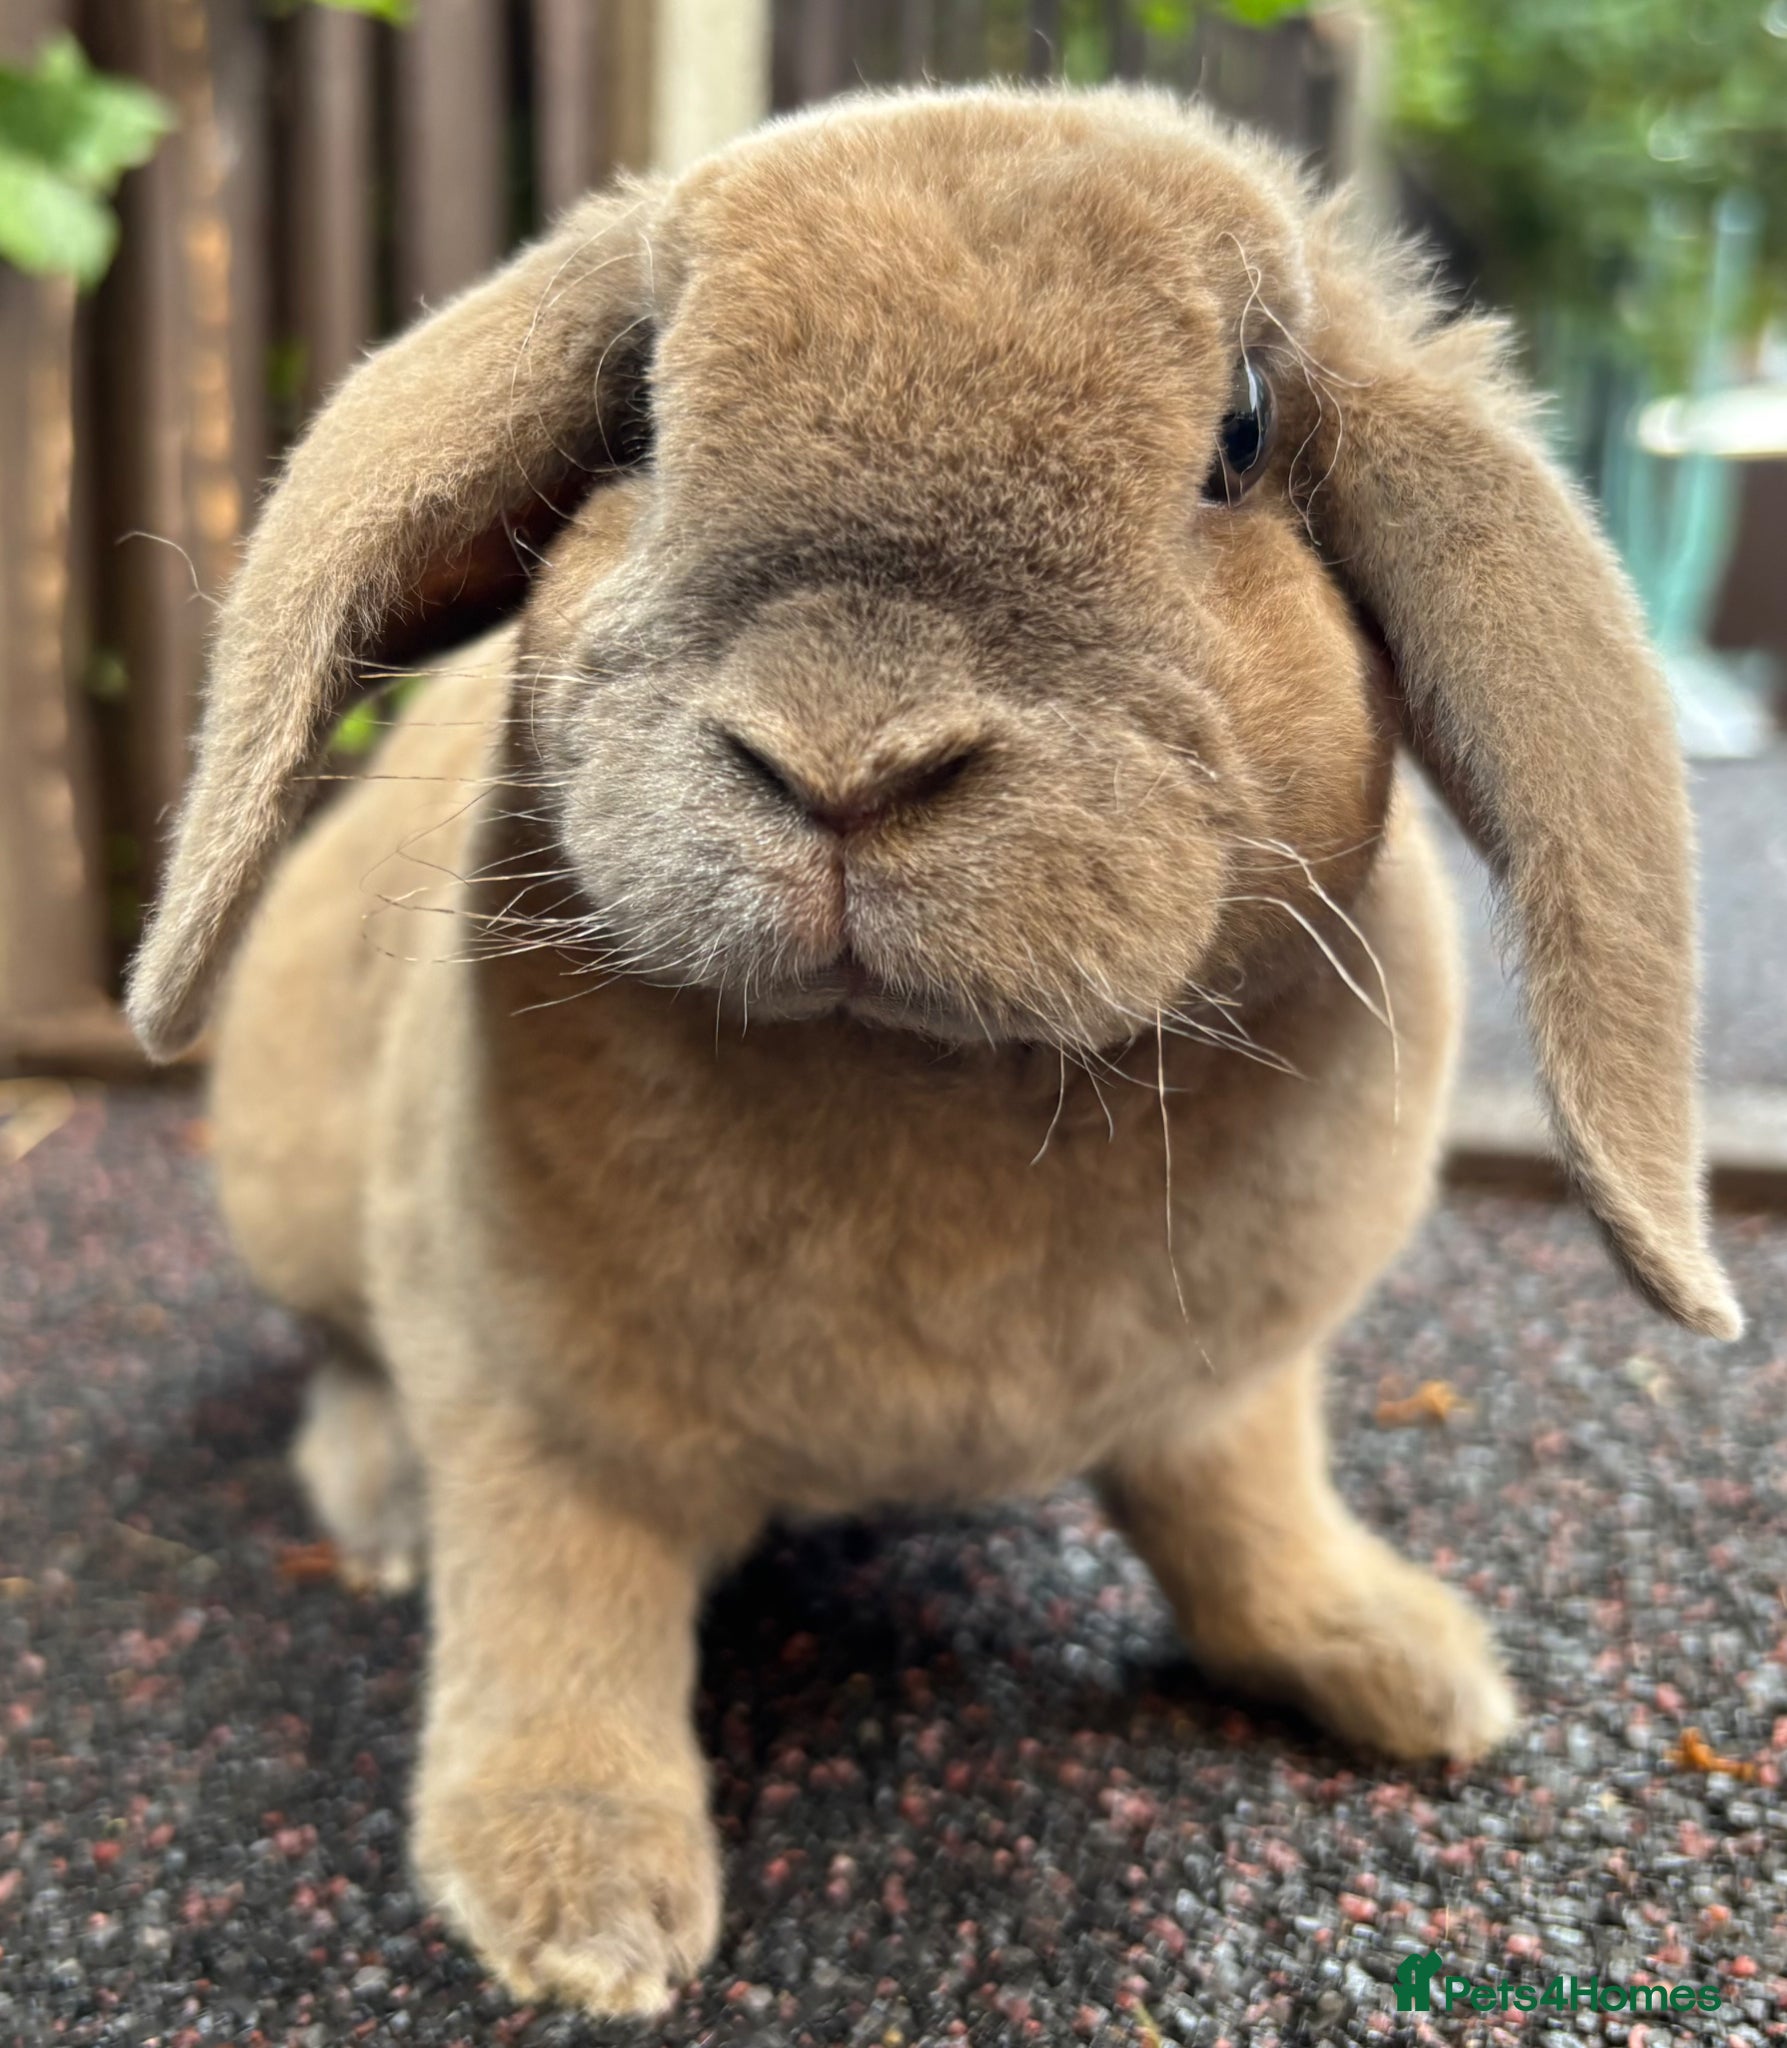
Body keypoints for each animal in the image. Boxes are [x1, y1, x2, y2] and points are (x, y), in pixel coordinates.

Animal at [125, 86, 1741, 2020]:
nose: (844, 757)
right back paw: (383, 1516)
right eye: (639, 408)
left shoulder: (1233, 1392)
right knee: (349, 1375)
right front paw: (573, 1906)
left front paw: (1405, 1665)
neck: (923, 1080)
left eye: (1240, 434)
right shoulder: (529, 1406)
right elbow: (557, 1617)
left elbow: (1249, 1516)